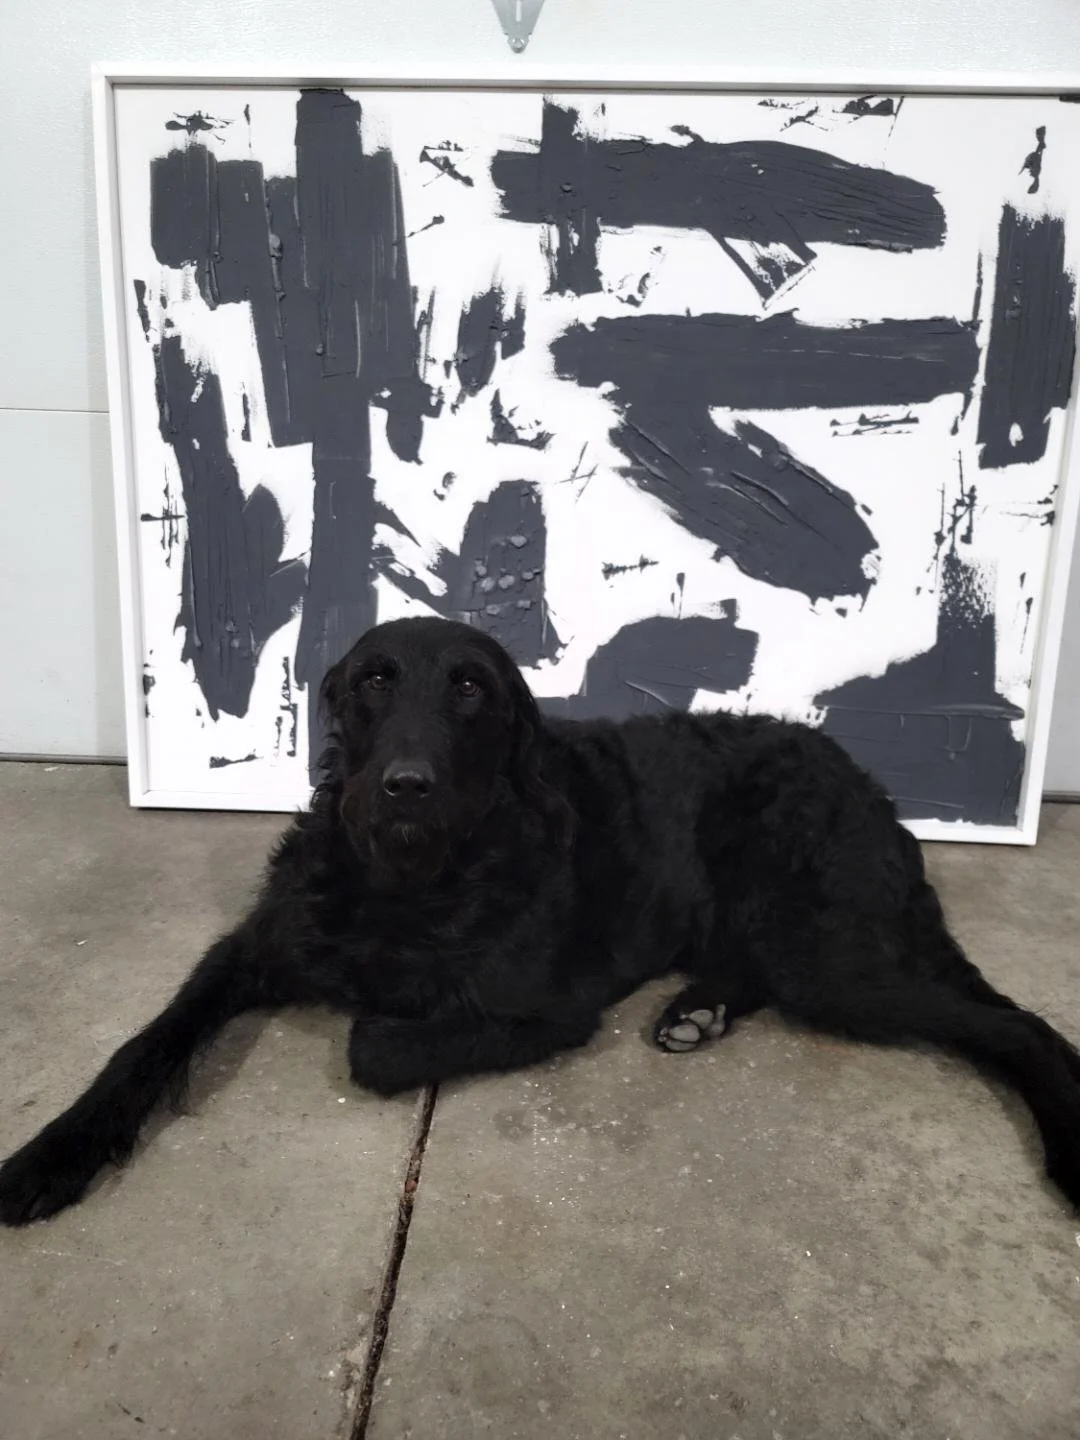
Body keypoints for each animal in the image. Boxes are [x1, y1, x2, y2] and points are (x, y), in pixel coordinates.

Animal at [2, 615, 1079, 1225]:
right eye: (375, 680)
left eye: (470, 689)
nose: (405, 785)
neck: (406, 875)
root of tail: (870, 783)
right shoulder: (252, 947)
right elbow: (144, 1043)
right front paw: (54, 1153)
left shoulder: (545, 1009)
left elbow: (373, 1041)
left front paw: (383, 1015)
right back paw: (698, 1011)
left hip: (831, 951)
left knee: (1020, 1025)